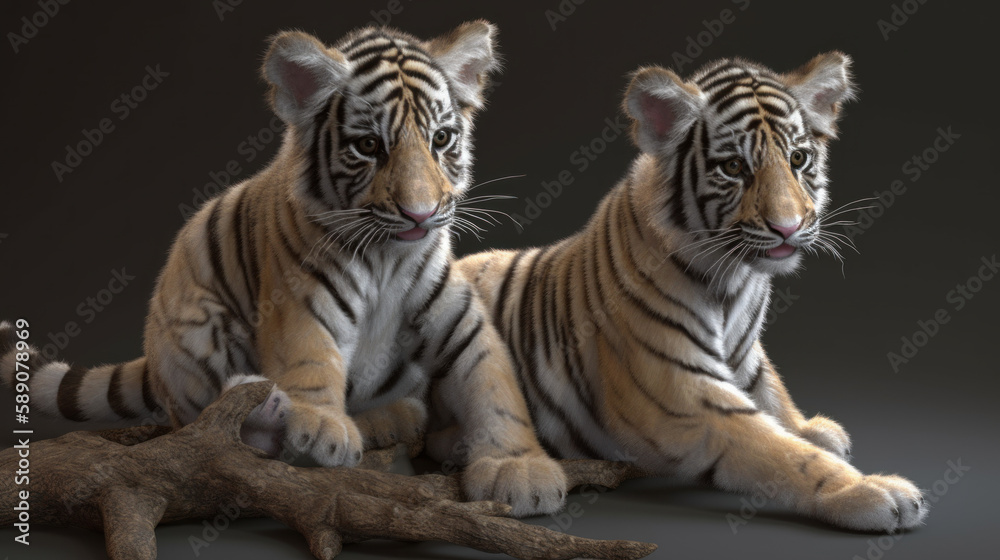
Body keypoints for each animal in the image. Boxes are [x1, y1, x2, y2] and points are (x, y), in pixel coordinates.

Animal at [0, 22, 567, 517]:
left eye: (442, 139)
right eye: (369, 146)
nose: (420, 214)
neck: (388, 257)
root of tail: (153, 361)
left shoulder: (461, 322)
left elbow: (495, 385)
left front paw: (523, 471)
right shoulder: (300, 300)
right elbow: (311, 356)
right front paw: (319, 426)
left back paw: (391, 418)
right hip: (200, 327)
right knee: (206, 425)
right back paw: (270, 411)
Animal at [456, 52, 929, 532]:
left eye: (798, 158)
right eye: (734, 167)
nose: (788, 227)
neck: (737, 281)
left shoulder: (747, 357)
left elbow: (774, 395)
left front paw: (812, 429)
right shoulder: (682, 395)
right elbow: (783, 453)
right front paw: (872, 490)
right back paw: (519, 475)